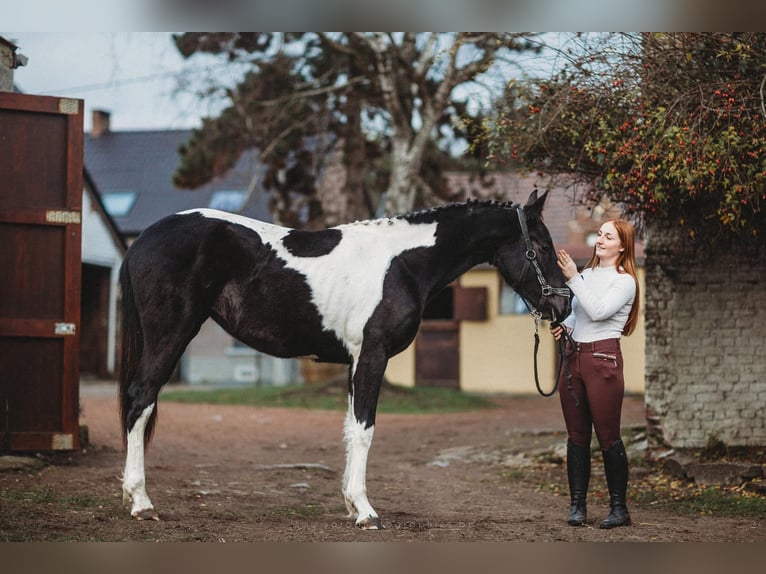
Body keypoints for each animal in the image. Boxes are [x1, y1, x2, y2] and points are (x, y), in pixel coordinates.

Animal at [118, 190, 568, 532]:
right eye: (543, 247)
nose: (562, 306)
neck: (402, 263)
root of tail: (142, 240)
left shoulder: (355, 362)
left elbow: (351, 429)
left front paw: (353, 505)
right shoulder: (372, 355)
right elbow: (366, 430)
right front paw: (366, 512)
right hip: (170, 334)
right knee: (140, 401)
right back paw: (141, 502)